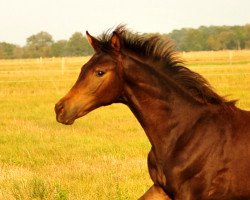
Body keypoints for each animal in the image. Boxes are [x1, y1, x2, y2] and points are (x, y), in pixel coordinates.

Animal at [54, 26, 250, 200]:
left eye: (100, 72)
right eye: (82, 69)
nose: (60, 109)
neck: (185, 132)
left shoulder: (191, 193)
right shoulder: (161, 188)